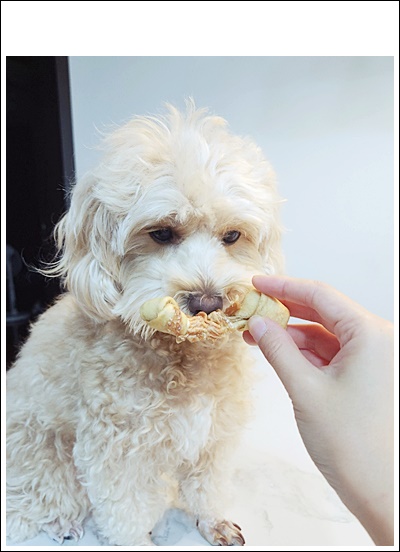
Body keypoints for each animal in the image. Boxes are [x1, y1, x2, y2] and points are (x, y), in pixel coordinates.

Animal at [6, 100, 284, 545]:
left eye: (232, 236)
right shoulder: (115, 448)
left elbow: (208, 486)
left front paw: (214, 523)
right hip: (42, 456)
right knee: (32, 506)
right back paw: (62, 525)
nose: (208, 302)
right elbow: (124, 513)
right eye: (161, 233)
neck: (181, 356)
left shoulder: (214, 432)